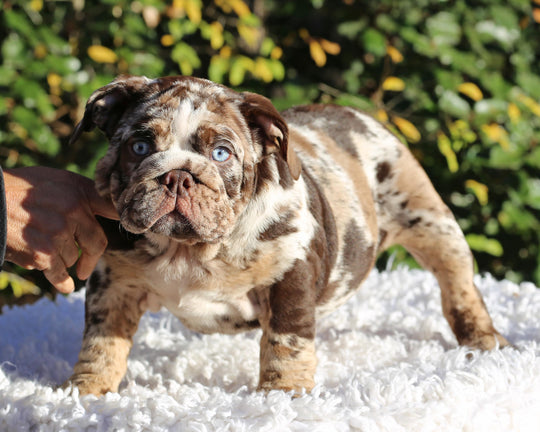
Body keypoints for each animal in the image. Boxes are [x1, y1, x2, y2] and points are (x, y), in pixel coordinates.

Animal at [65, 75, 508, 394]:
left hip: (432, 223)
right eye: (139, 147)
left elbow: (286, 340)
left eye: (221, 154)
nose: (177, 175)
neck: (190, 250)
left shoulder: (290, 275)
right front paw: (86, 391)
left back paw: (484, 341)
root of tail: (354, 112)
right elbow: (101, 341)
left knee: (458, 285)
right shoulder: (114, 283)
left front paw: (283, 394)